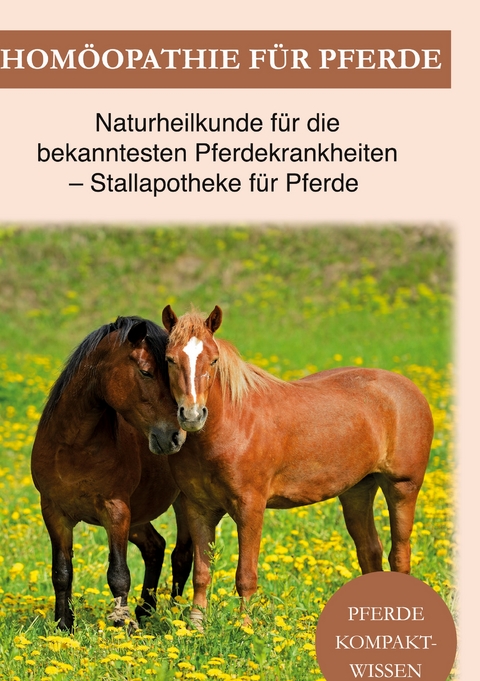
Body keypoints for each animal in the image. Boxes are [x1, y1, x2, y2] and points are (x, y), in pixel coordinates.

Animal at [31, 316, 193, 631]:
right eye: (146, 372)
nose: (175, 437)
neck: (74, 446)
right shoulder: (54, 512)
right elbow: (62, 572)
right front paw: (64, 626)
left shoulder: (116, 511)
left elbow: (118, 574)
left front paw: (122, 627)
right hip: (138, 516)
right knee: (155, 547)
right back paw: (145, 611)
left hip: (183, 503)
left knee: (181, 555)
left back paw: (175, 616)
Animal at [161, 305, 434, 627]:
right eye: (169, 359)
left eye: (213, 360)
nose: (192, 415)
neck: (233, 424)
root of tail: (409, 389)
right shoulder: (198, 509)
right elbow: (202, 572)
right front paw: (195, 627)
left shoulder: (250, 508)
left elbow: (246, 576)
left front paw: (245, 628)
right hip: (357, 491)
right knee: (370, 551)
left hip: (402, 488)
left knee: (399, 556)